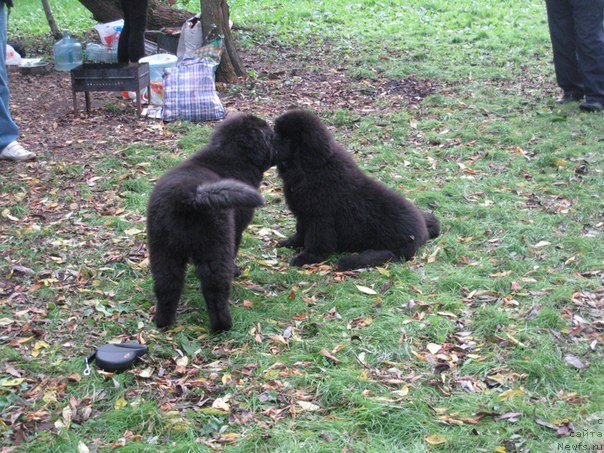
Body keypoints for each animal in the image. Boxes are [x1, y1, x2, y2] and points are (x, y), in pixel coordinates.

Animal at [148, 113, 274, 332]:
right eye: (272, 137)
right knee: (215, 289)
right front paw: (236, 270)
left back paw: (164, 322)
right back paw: (223, 326)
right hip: (216, 245)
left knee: (167, 285)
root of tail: (188, 197)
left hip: (162, 248)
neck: (233, 155)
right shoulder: (236, 231)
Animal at [274, 109, 438, 270]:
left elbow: (316, 240)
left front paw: (307, 257)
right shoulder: (304, 214)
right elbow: (301, 231)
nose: (270, 144)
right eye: (277, 133)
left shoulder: (320, 218)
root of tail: (422, 234)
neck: (311, 169)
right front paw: (291, 243)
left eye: (286, 138)